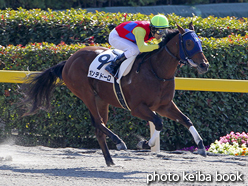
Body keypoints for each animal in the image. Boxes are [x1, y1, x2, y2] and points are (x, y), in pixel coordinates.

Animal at [22, 22, 210, 166]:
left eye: (199, 41)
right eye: (189, 43)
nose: (204, 65)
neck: (157, 71)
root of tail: (68, 60)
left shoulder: (164, 106)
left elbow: (185, 119)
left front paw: (201, 145)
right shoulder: (137, 108)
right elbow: (158, 122)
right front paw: (144, 143)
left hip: (101, 99)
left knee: (99, 129)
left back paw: (110, 160)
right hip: (86, 94)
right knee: (98, 123)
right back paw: (119, 142)